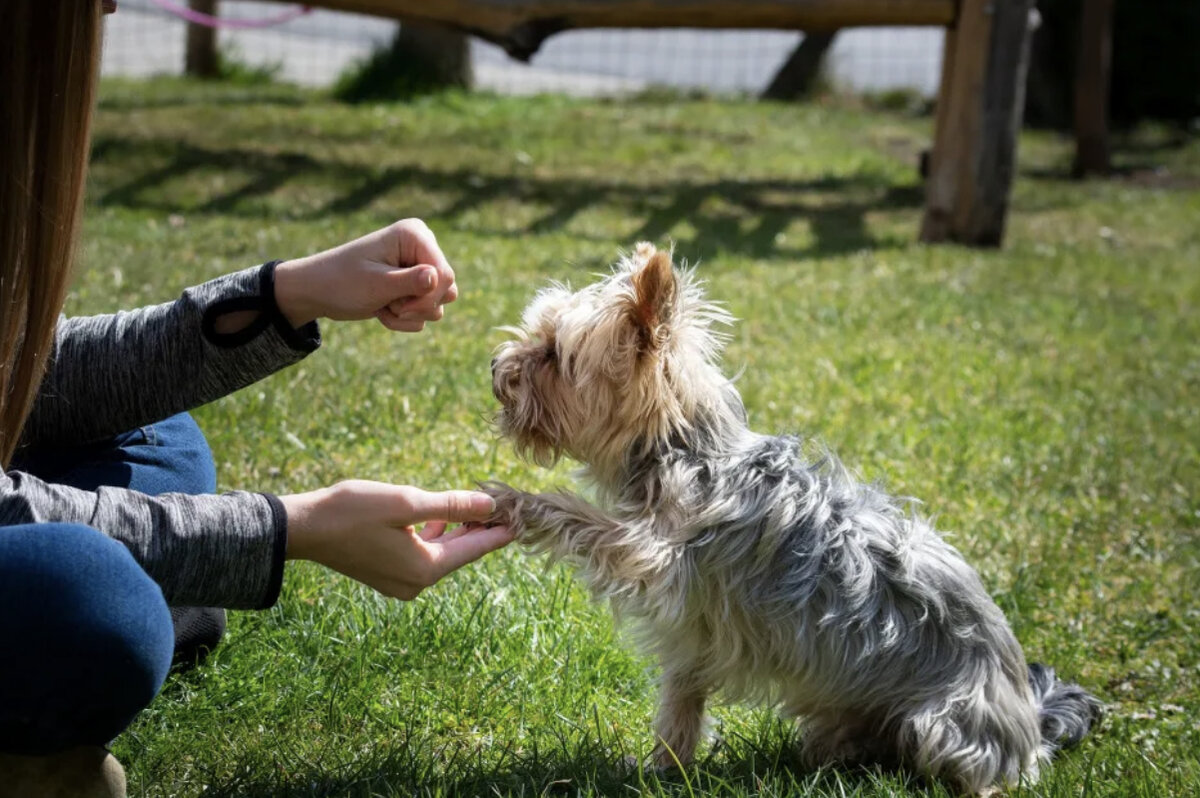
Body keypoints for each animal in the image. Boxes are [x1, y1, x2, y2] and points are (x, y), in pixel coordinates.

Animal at [482, 242, 1099, 792]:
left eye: (552, 355)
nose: (494, 367)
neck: (685, 450)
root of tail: (1030, 720)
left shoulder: (654, 554)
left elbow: (583, 519)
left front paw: (515, 501)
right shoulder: (695, 630)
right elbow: (682, 699)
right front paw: (665, 768)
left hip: (945, 724)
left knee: (980, 775)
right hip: (845, 712)